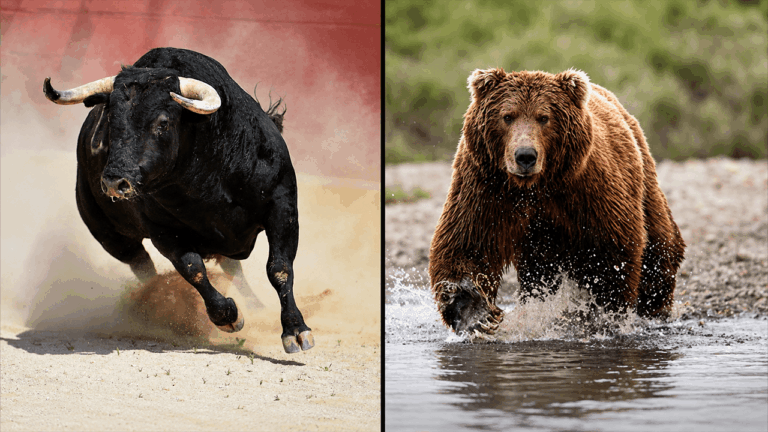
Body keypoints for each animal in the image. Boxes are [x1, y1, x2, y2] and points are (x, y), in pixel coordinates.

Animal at [43, 47, 313, 353]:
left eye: (163, 122)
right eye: (110, 121)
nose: (114, 182)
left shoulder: (282, 205)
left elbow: (279, 267)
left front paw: (296, 330)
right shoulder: (163, 232)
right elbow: (193, 270)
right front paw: (229, 317)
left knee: (233, 268)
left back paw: (258, 308)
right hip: (113, 238)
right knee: (145, 269)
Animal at [429, 68, 686, 335]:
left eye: (544, 117)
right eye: (507, 116)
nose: (525, 156)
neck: (533, 187)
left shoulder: (586, 189)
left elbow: (611, 249)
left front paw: (602, 314)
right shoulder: (486, 186)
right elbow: (468, 242)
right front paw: (475, 313)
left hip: (643, 176)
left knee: (659, 245)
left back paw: (655, 308)